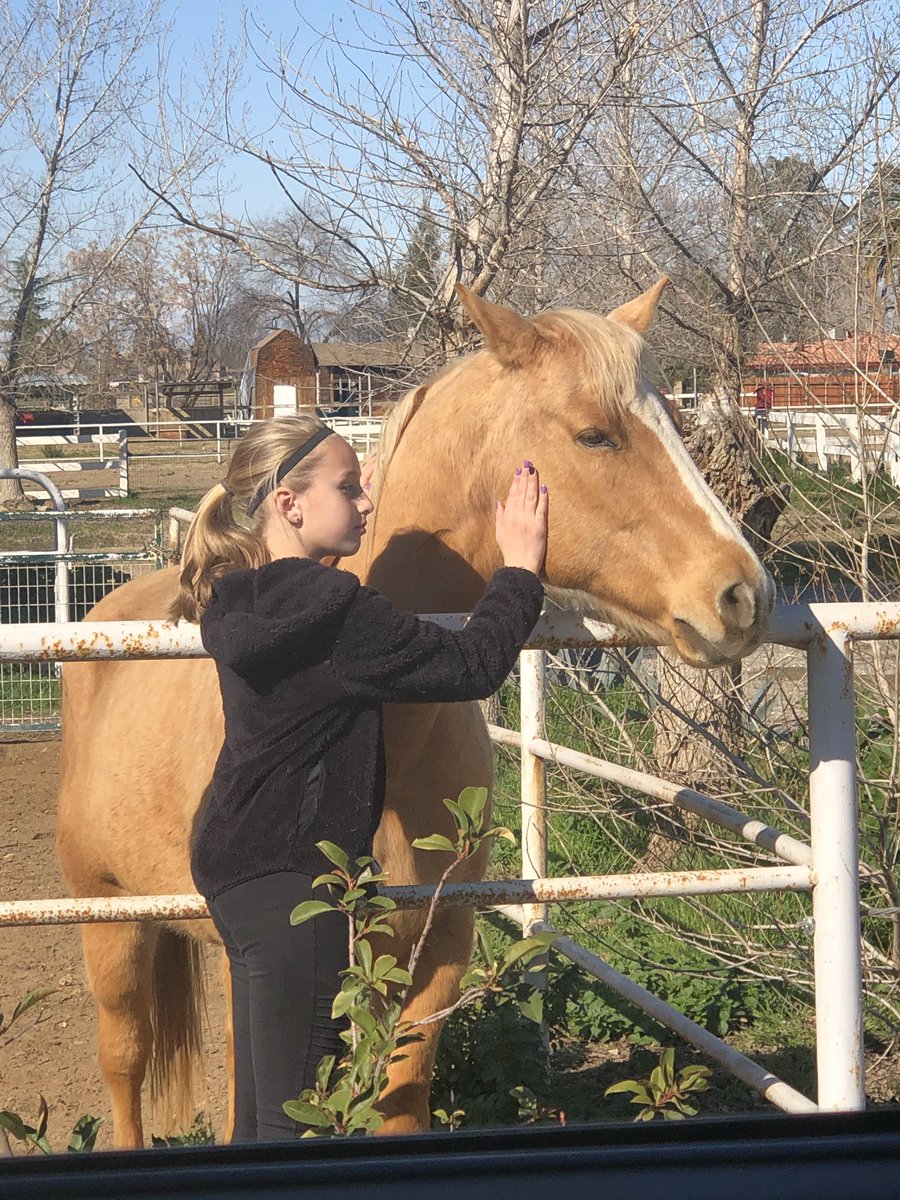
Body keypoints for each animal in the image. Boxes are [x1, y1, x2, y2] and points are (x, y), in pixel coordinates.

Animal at [57, 279, 774, 1147]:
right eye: (594, 435)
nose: (745, 594)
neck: (394, 733)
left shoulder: (434, 955)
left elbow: (400, 1098)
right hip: (111, 921)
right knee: (124, 1065)